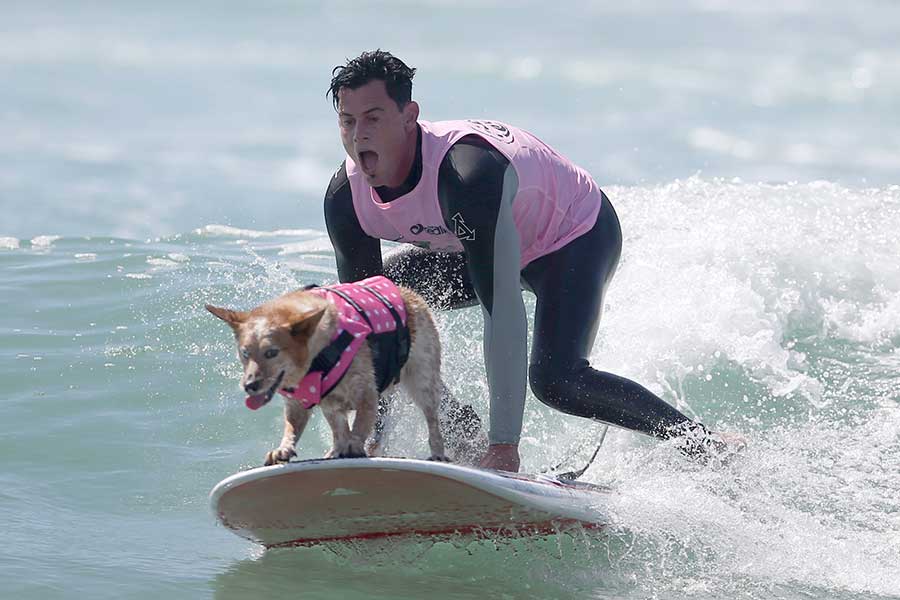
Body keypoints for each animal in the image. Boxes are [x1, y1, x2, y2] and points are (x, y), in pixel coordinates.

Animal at [206, 274, 448, 466]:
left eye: (271, 352)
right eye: (245, 353)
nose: (249, 386)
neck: (317, 357)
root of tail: (408, 293)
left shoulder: (366, 393)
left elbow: (360, 424)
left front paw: (354, 445)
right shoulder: (306, 404)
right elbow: (295, 428)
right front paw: (284, 449)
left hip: (422, 380)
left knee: (432, 419)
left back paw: (437, 453)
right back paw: (334, 450)